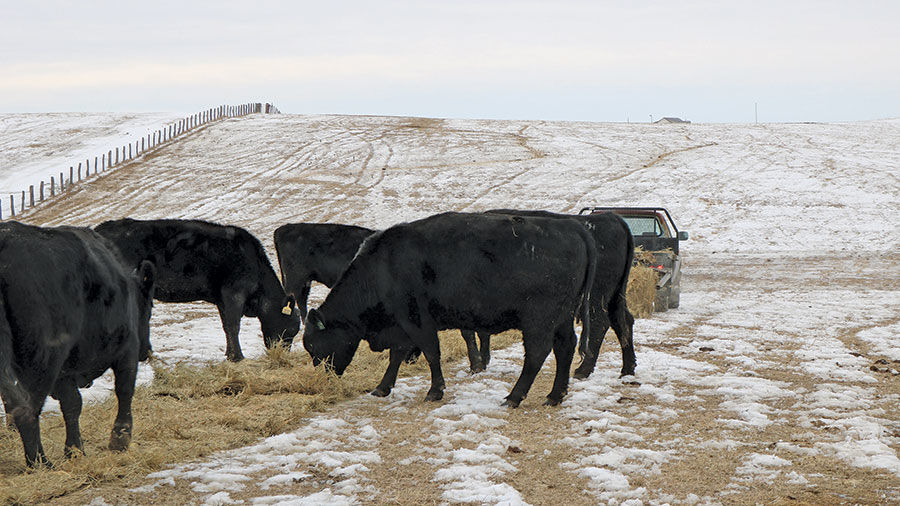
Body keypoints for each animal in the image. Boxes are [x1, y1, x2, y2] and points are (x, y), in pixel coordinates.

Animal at [0, 221, 156, 468]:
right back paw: (41, 462)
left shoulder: (65, 371)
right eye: (149, 307)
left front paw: (75, 450)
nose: (146, 351)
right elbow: (124, 389)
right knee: (25, 408)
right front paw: (120, 439)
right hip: (44, 357)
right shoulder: (127, 347)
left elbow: (72, 404)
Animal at [95, 218, 300, 362]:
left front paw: (229, 354)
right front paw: (238, 357)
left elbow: (226, 326)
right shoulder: (233, 293)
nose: (282, 354)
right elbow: (234, 325)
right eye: (291, 328)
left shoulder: (222, 298)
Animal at [303, 211, 597, 407]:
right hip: (562, 319)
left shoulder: (416, 321)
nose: (325, 378)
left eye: (314, 346)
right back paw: (555, 395)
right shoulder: (404, 326)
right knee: (565, 348)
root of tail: (572, 226)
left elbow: (431, 353)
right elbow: (397, 355)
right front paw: (383, 387)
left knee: (537, 354)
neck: (384, 267)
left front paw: (435, 391)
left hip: (539, 320)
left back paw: (514, 397)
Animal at [485, 209, 636, 378]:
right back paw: (628, 369)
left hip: (596, 297)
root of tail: (611, 217)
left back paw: (584, 369)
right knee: (623, 321)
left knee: (600, 323)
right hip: (615, 296)